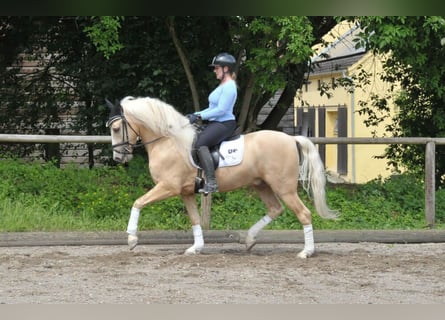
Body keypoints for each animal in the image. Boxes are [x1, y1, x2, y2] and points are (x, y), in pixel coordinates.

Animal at [106, 96, 336, 258]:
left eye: (116, 128)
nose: (118, 157)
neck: (168, 141)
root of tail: (291, 139)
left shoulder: (168, 187)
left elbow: (138, 202)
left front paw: (131, 238)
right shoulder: (186, 192)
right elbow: (195, 219)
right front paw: (196, 248)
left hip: (284, 188)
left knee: (304, 214)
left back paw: (306, 252)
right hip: (262, 185)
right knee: (275, 209)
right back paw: (249, 239)